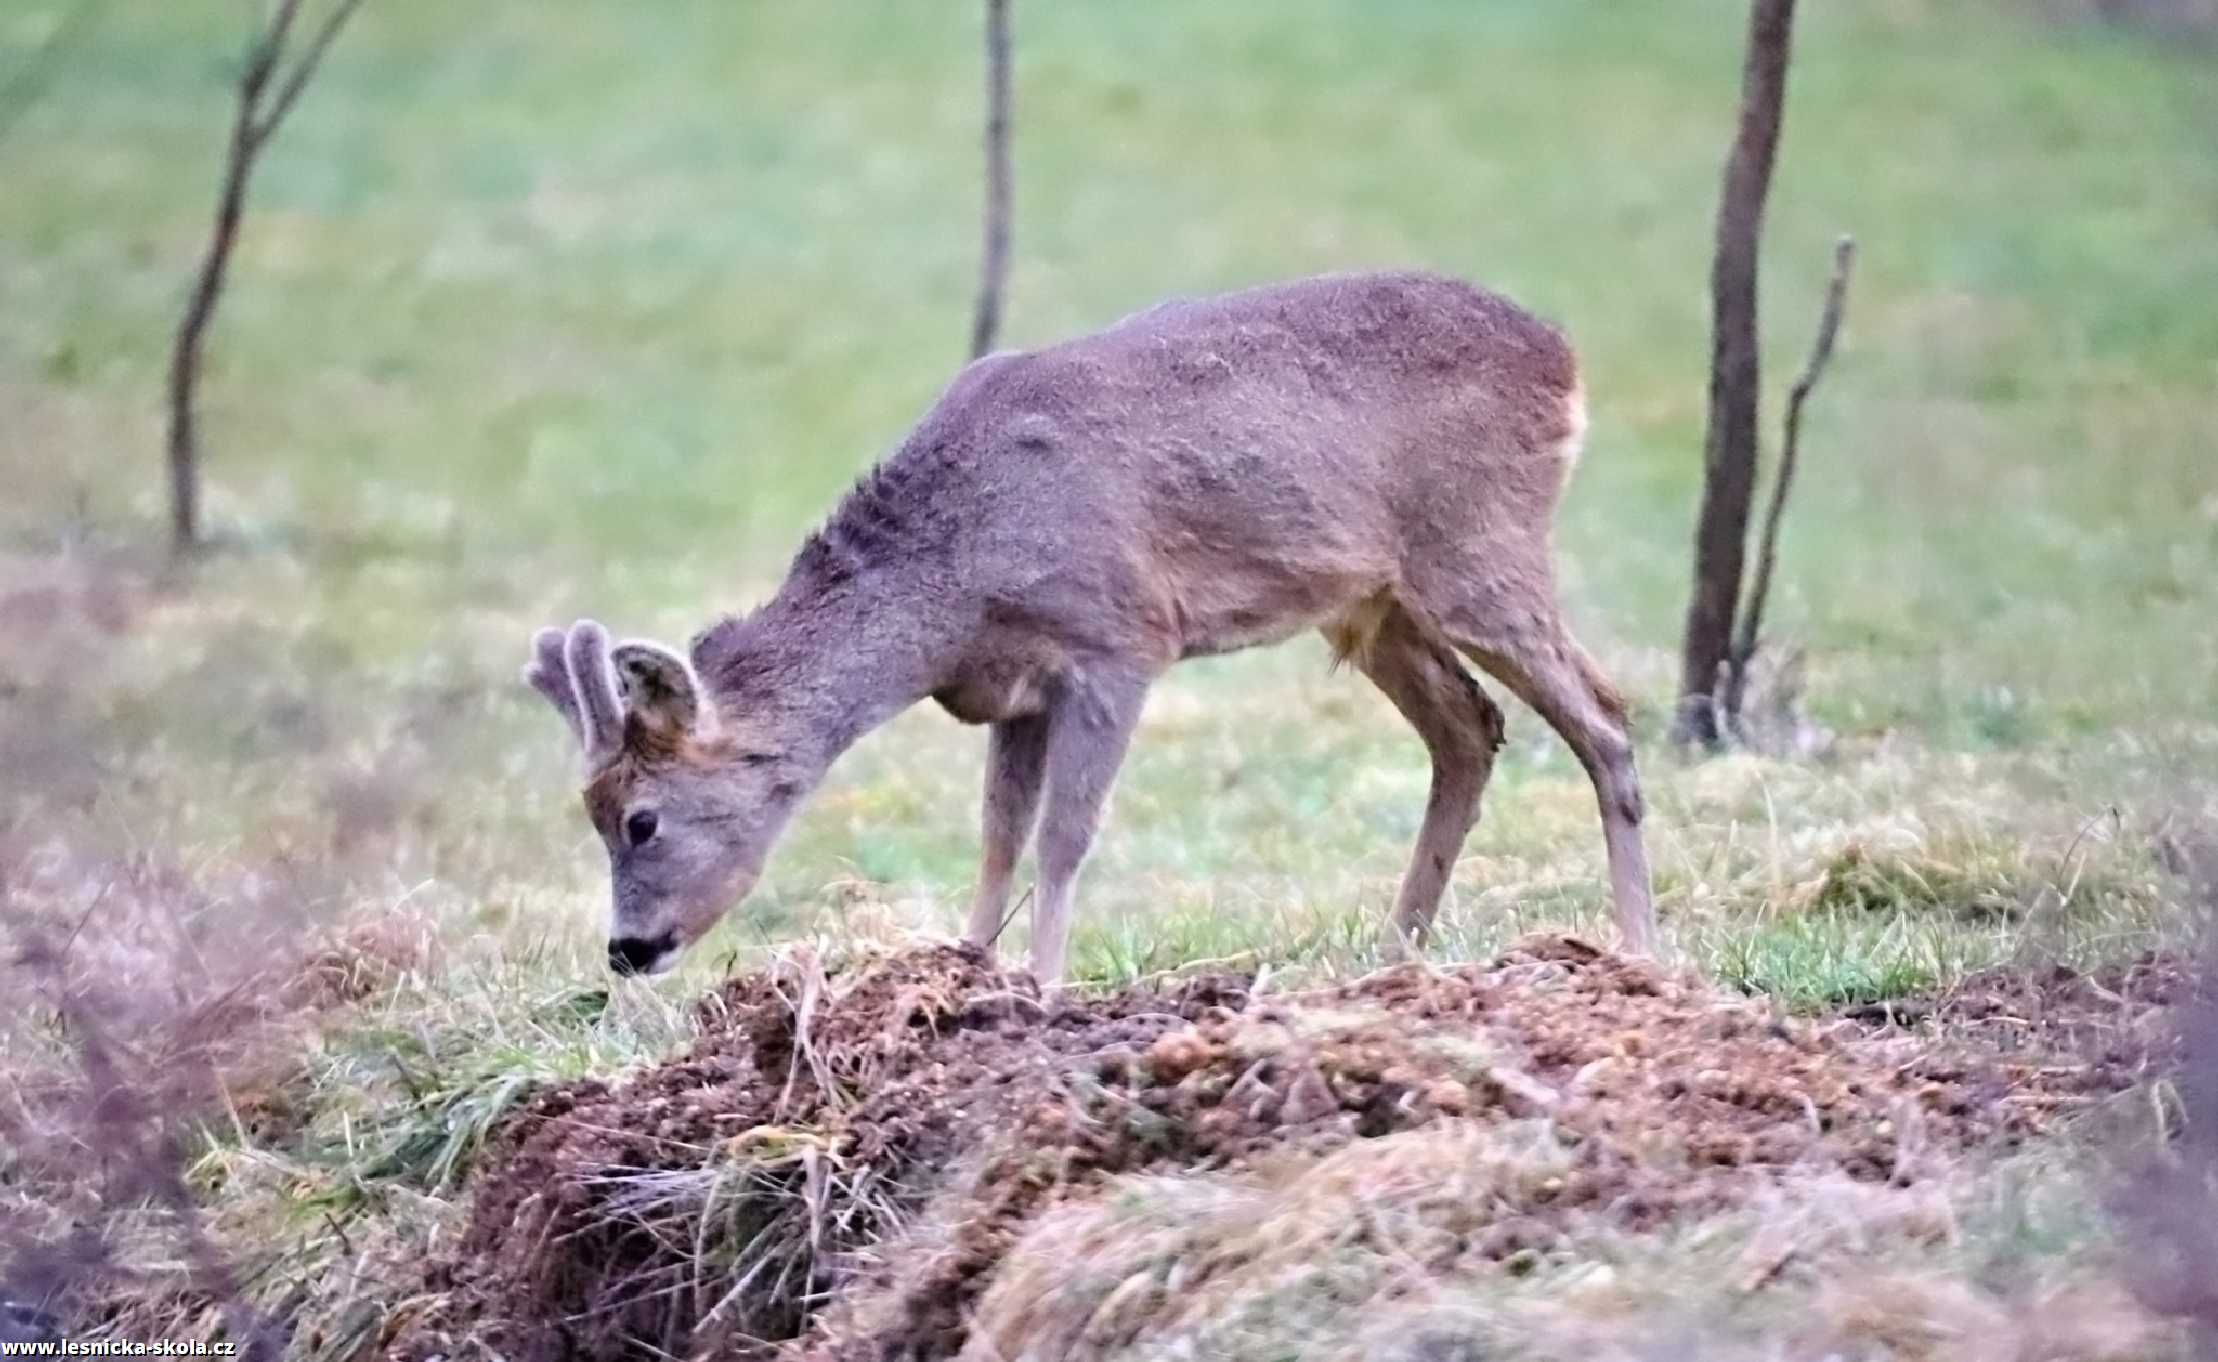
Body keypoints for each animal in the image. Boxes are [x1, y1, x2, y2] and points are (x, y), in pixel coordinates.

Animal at [527, 275, 1659, 980]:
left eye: (642, 820)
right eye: (591, 812)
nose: (629, 949)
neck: (957, 577)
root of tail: (1564, 359)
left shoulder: (1118, 638)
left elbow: (1064, 839)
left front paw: (1043, 987)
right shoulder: (1012, 687)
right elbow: (996, 836)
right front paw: (966, 970)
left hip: (1478, 546)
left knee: (1604, 717)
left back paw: (1639, 951)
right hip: (1373, 604)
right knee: (1470, 731)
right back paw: (1395, 960)